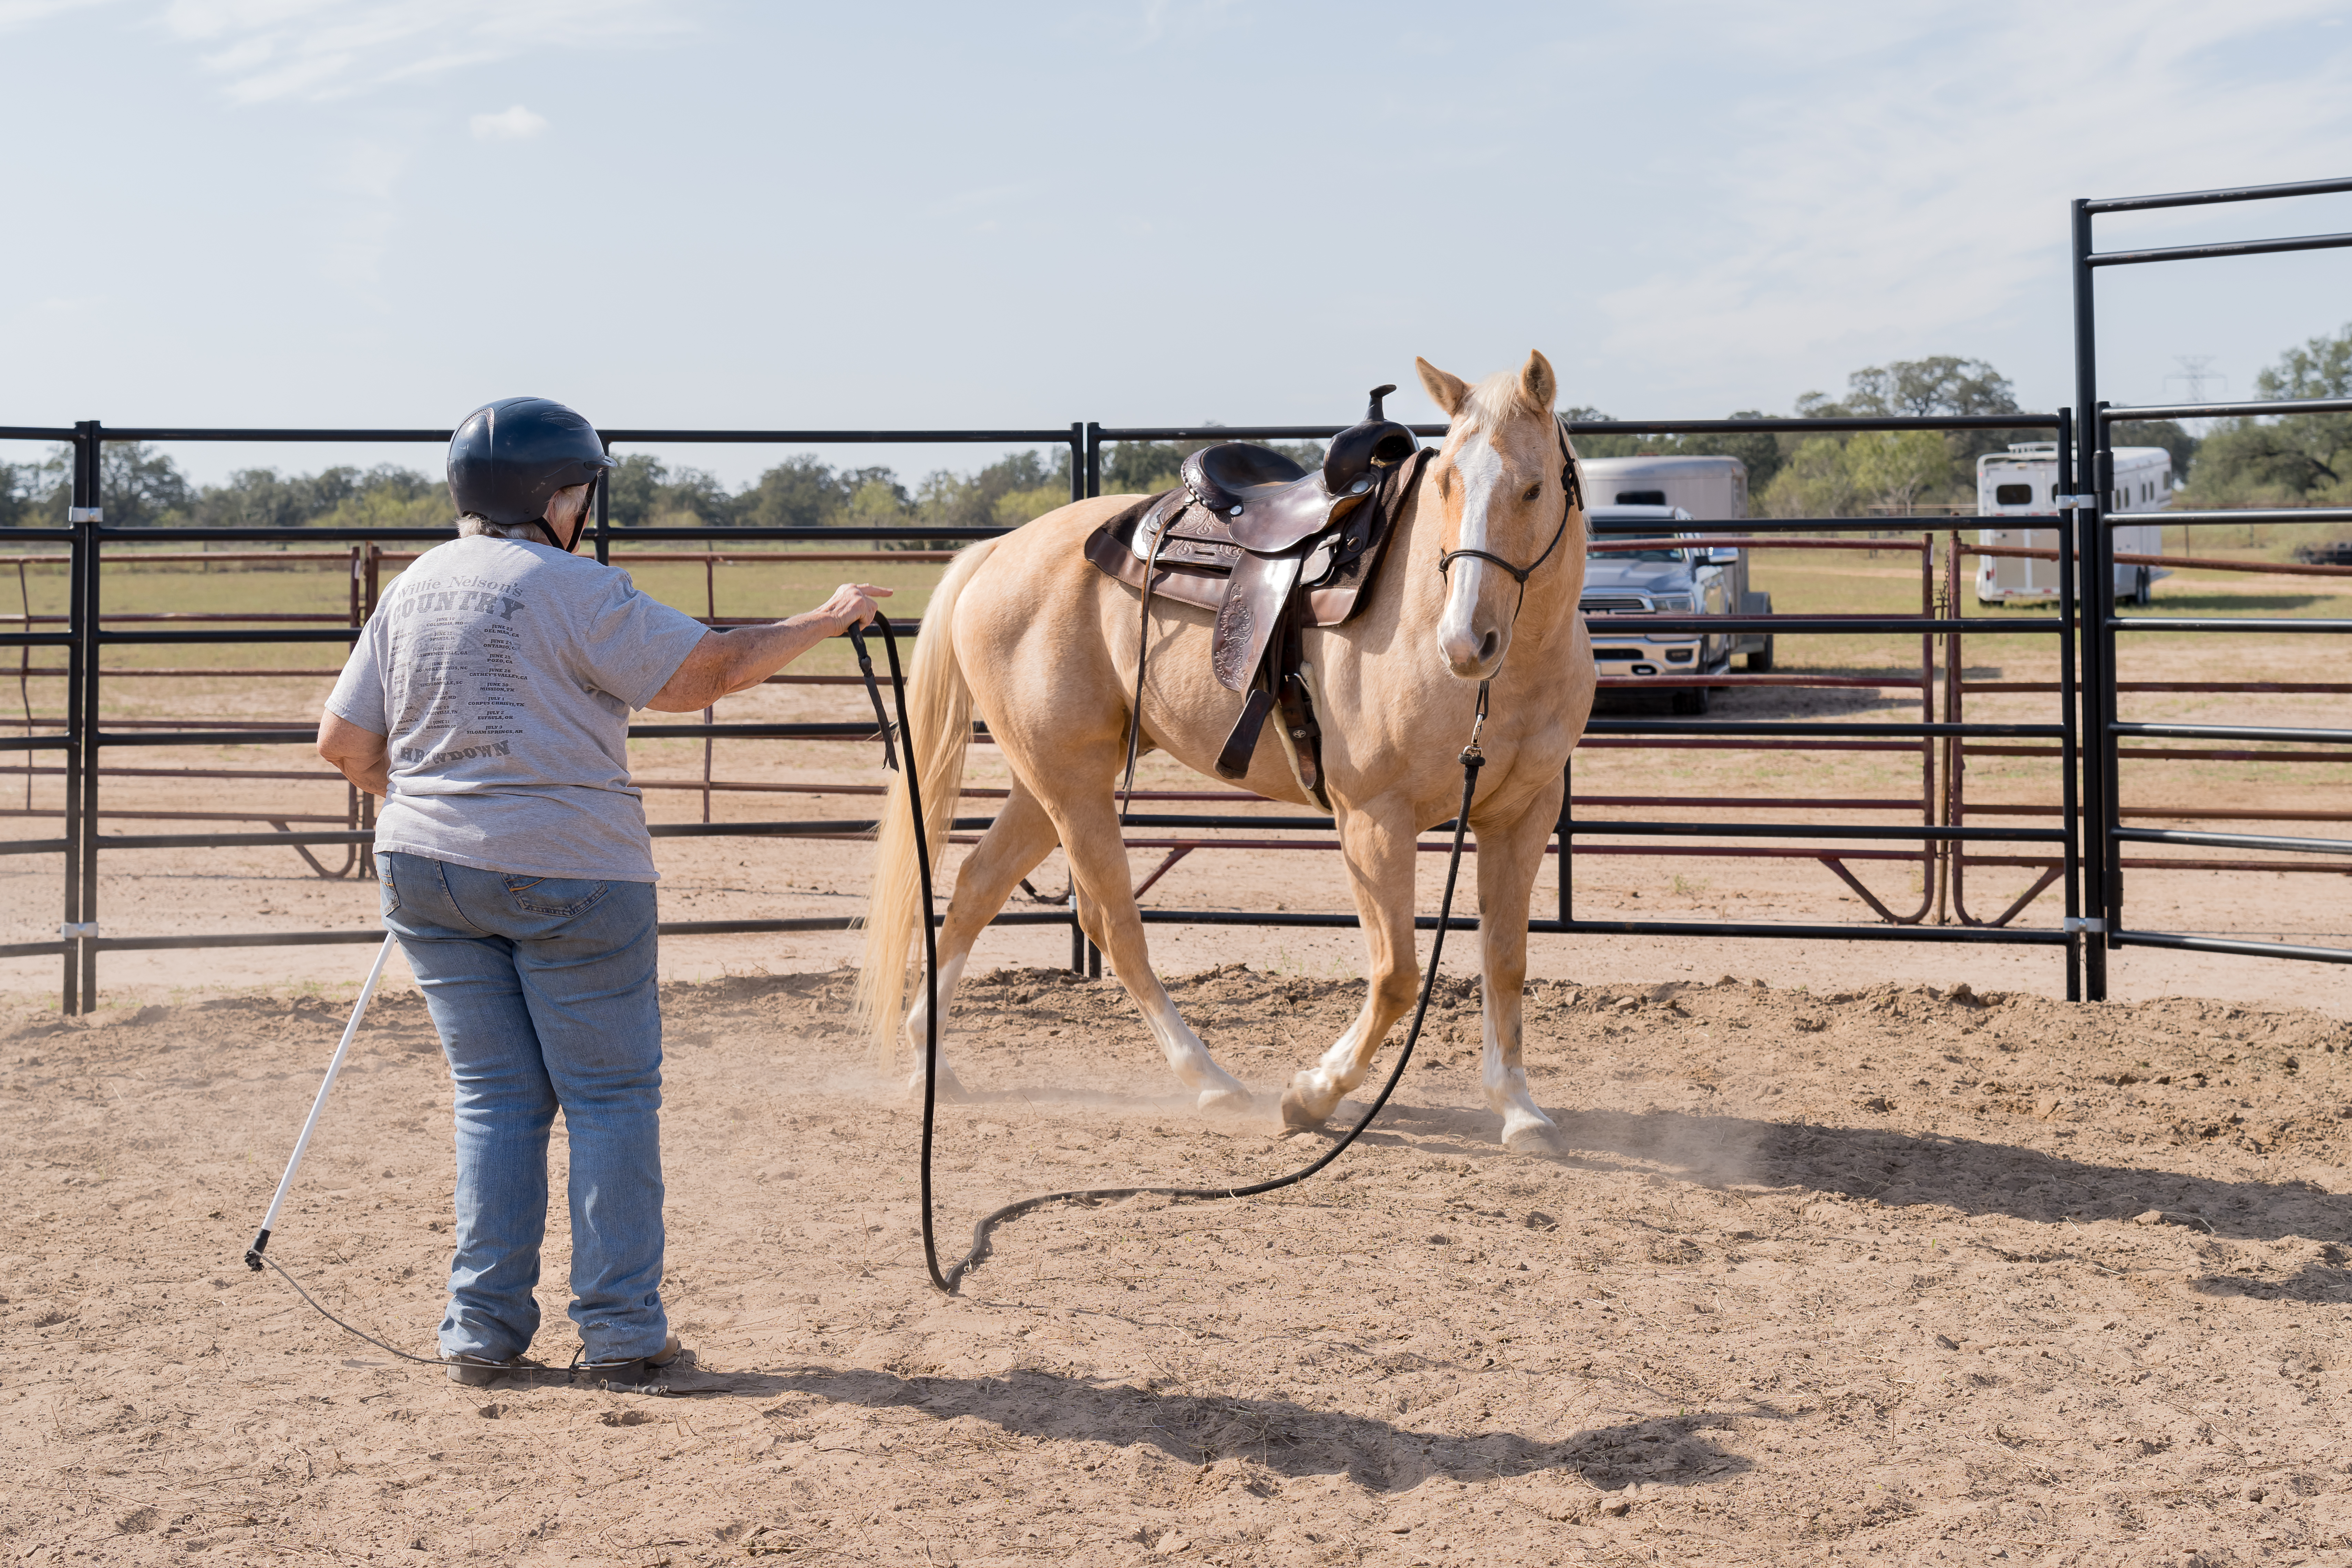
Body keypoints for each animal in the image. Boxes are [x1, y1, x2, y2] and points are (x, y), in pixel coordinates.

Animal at [855, 353, 1596, 1153]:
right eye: (1447, 485)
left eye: (1533, 486)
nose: (1464, 643)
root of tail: (999, 549)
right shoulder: (1374, 820)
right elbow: (1397, 974)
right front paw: (1312, 1095)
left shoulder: (1521, 818)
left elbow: (1505, 959)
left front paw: (1517, 1108)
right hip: (1073, 787)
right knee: (1113, 924)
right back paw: (1210, 1080)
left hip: (1044, 781)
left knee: (976, 887)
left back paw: (931, 1060)